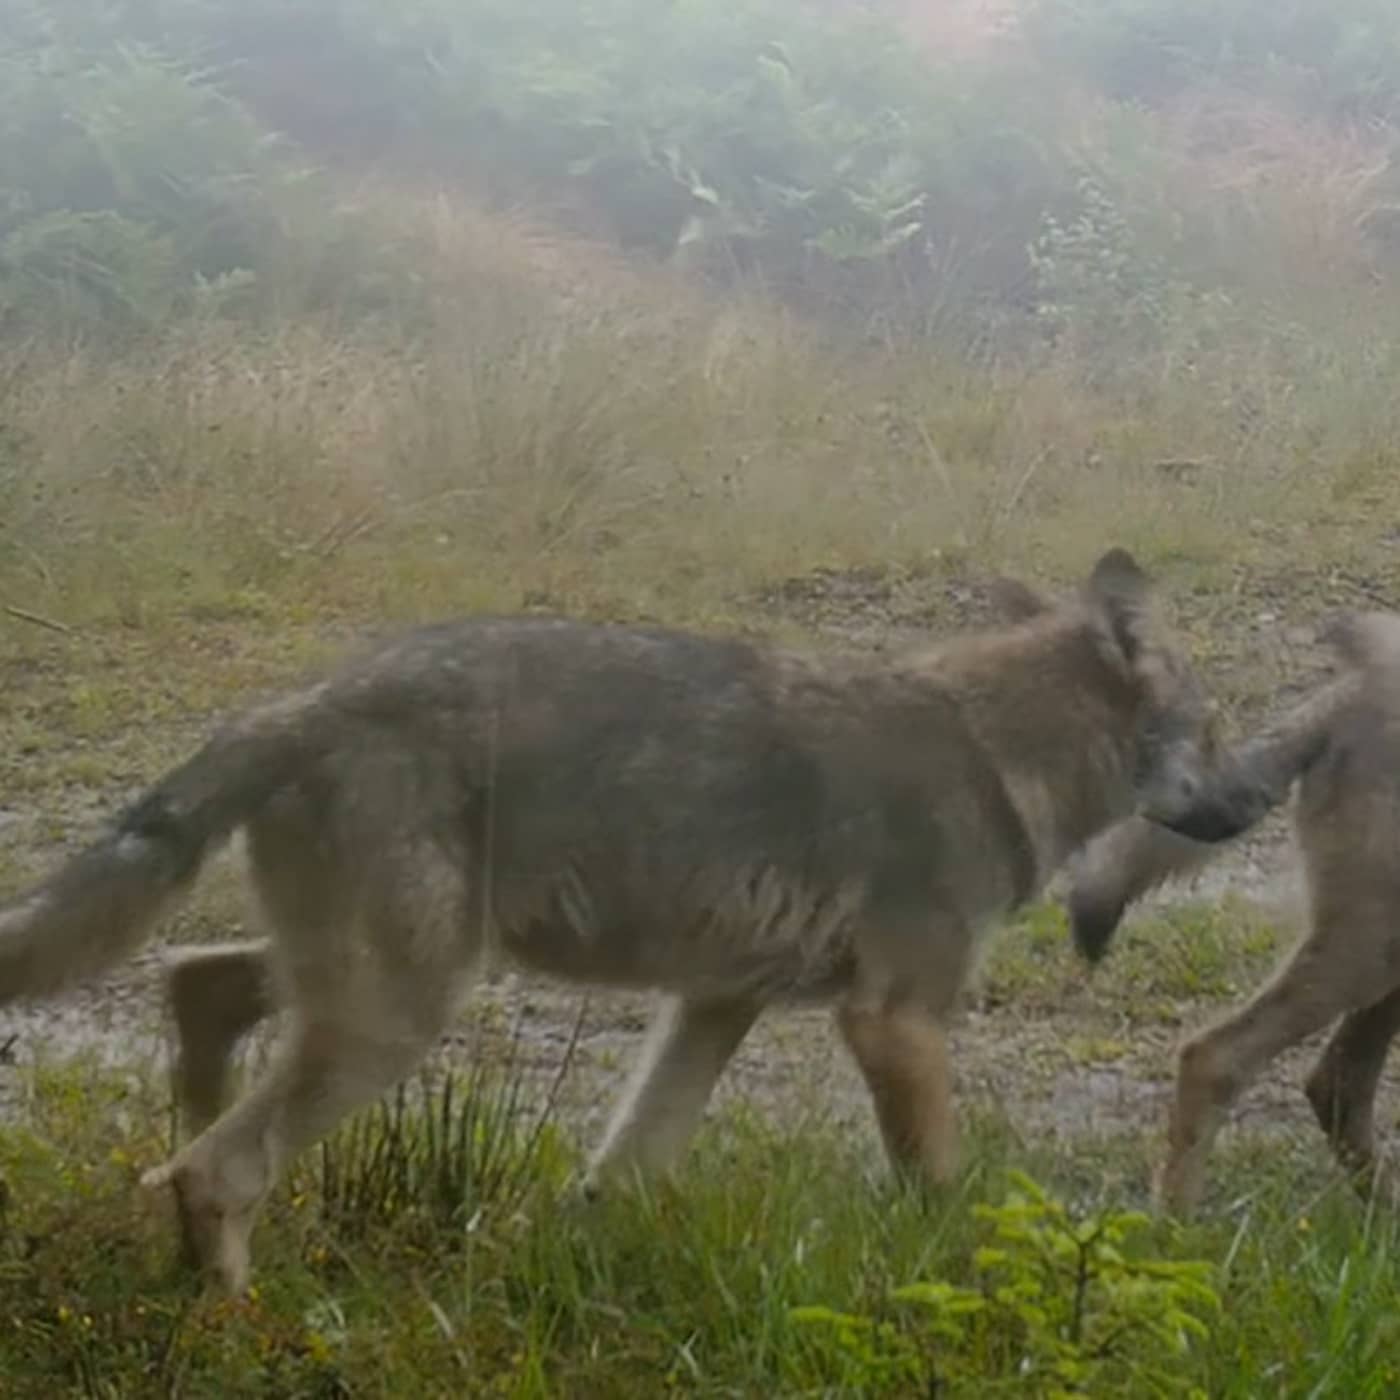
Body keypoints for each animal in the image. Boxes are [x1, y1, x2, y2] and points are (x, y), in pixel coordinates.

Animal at [0, 549, 1231, 1292]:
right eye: (1216, 733)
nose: (1244, 804)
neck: (995, 749)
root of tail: (302, 699)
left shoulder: (716, 1001)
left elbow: (629, 1164)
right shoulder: (894, 1022)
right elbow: (940, 1189)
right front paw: (968, 1285)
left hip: (373, 980)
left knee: (195, 990)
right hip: (399, 1012)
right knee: (216, 1165)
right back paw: (233, 1315)